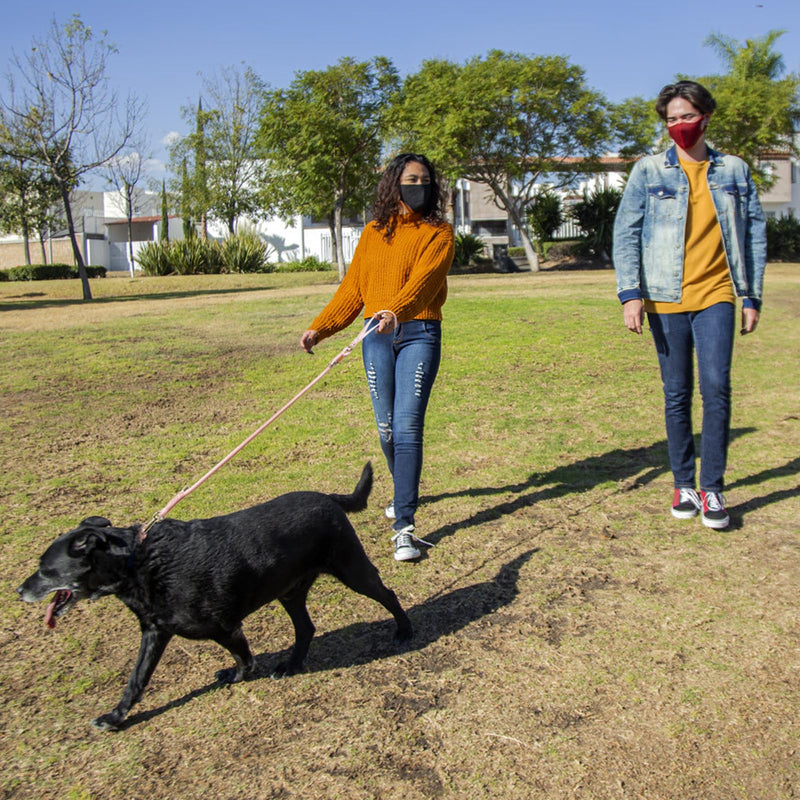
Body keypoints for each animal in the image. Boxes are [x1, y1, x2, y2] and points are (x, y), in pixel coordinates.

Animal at [18, 462, 412, 732]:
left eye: (45, 571)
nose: (19, 591)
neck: (139, 561)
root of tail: (328, 498)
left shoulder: (225, 627)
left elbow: (244, 660)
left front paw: (236, 676)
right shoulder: (154, 632)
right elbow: (136, 679)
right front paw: (116, 716)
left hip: (352, 570)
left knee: (387, 594)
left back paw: (404, 631)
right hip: (290, 590)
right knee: (306, 628)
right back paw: (291, 665)